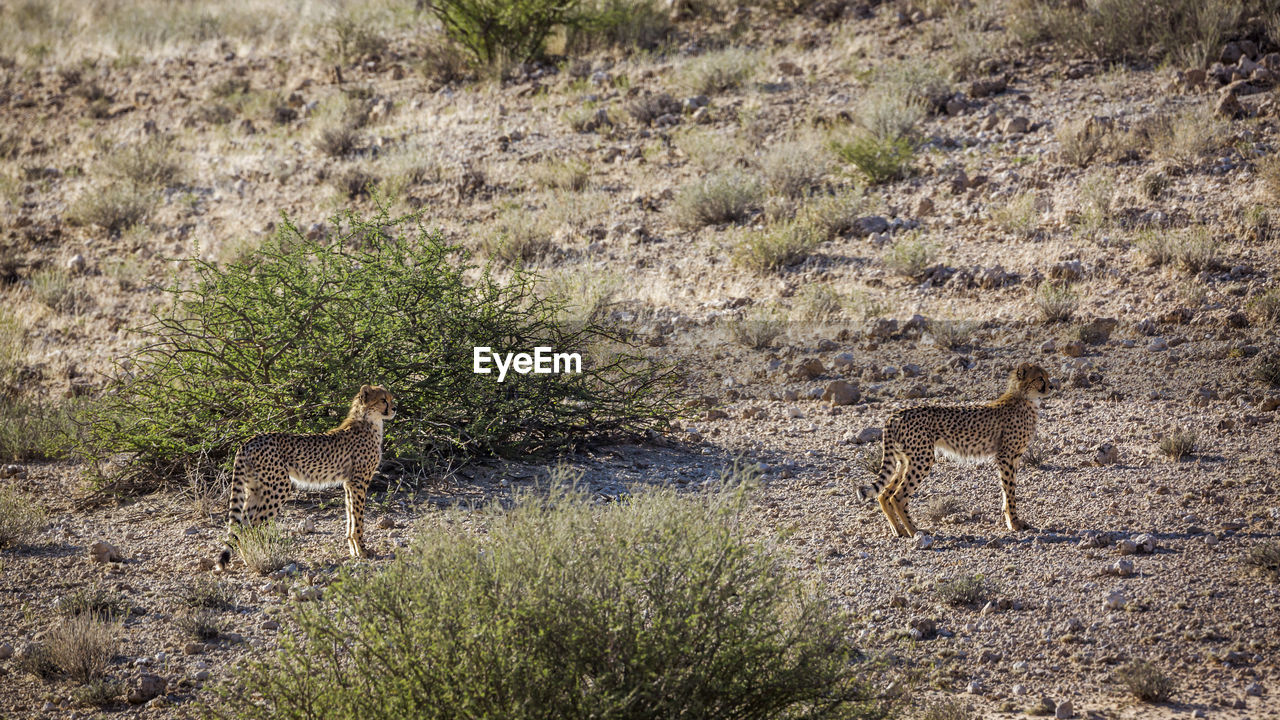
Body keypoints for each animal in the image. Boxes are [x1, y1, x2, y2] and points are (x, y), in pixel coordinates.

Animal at [215, 384, 394, 568]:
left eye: (391, 398)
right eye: (383, 400)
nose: (394, 408)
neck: (369, 421)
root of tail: (250, 440)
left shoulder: (349, 483)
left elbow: (351, 516)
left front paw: (354, 550)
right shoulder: (359, 482)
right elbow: (358, 519)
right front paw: (362, 550)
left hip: (254, 488)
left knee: (242, 527)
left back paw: (249, 557)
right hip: (279, 487)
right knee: (253, 525)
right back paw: (261, 556)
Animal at [855, 361, 1054, 535]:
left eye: (1047, 376)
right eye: (1040, 378)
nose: (1052, 387)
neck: (1025, 398)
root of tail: (896, 414)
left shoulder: (1011, 457)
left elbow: (1006, 491)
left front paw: (1010, 520)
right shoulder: (1006, 456)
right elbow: (1010, 492)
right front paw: (1014, 522)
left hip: (904, 459)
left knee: (884, 494)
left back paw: (899, 530)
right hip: (923, 458)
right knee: (897, 496)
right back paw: (915, 531)